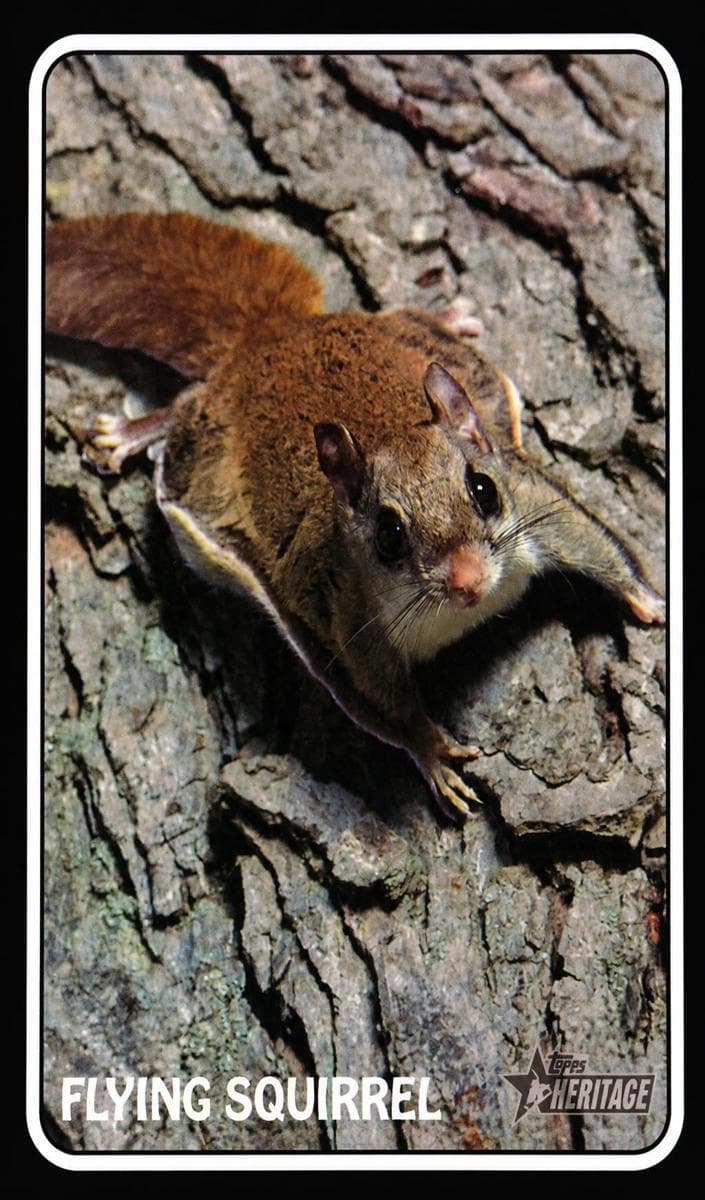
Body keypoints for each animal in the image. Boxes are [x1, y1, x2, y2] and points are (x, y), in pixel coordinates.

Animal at [45, 212, 665, 820]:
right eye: (388, 535)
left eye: (484, 490)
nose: (468, 582)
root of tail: (268, 336)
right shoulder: (345, 617)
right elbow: (380, 701)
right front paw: (434, 752)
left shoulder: (535, 504)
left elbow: (595, 542)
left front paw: (649, 600)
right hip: (203, 449)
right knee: (179, 410)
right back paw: (128, 435)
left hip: (403, 337)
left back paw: (450, 313)